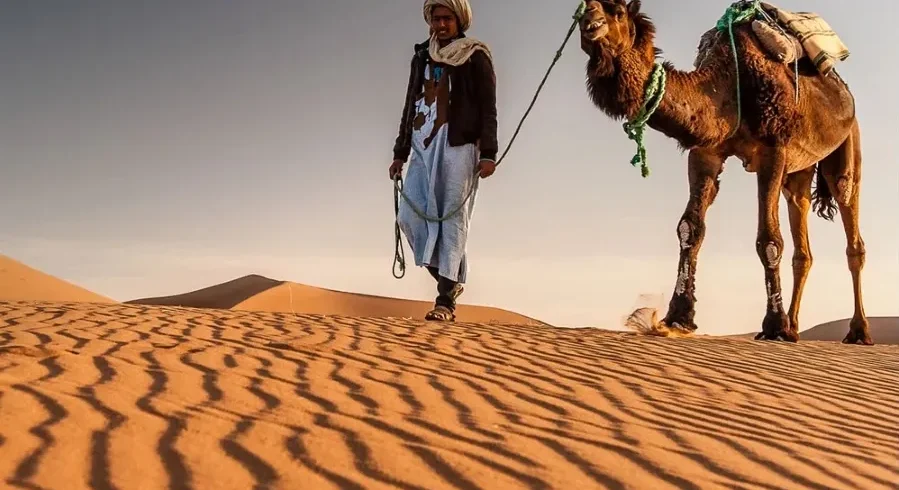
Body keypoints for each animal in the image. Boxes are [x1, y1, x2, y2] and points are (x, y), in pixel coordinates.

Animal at [578, 0, 872, 344]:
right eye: (584, 7)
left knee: (850, 222)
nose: (589, 22)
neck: (730, 84)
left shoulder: (773, 150)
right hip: (799, 172)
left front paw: (773, 325)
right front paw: (677, 317)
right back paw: (794, 327)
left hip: (848, 144)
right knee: (802, 242)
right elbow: (690, 228)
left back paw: (857, 331)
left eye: (618, 11)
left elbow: (769, 240)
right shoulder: (705, 151)